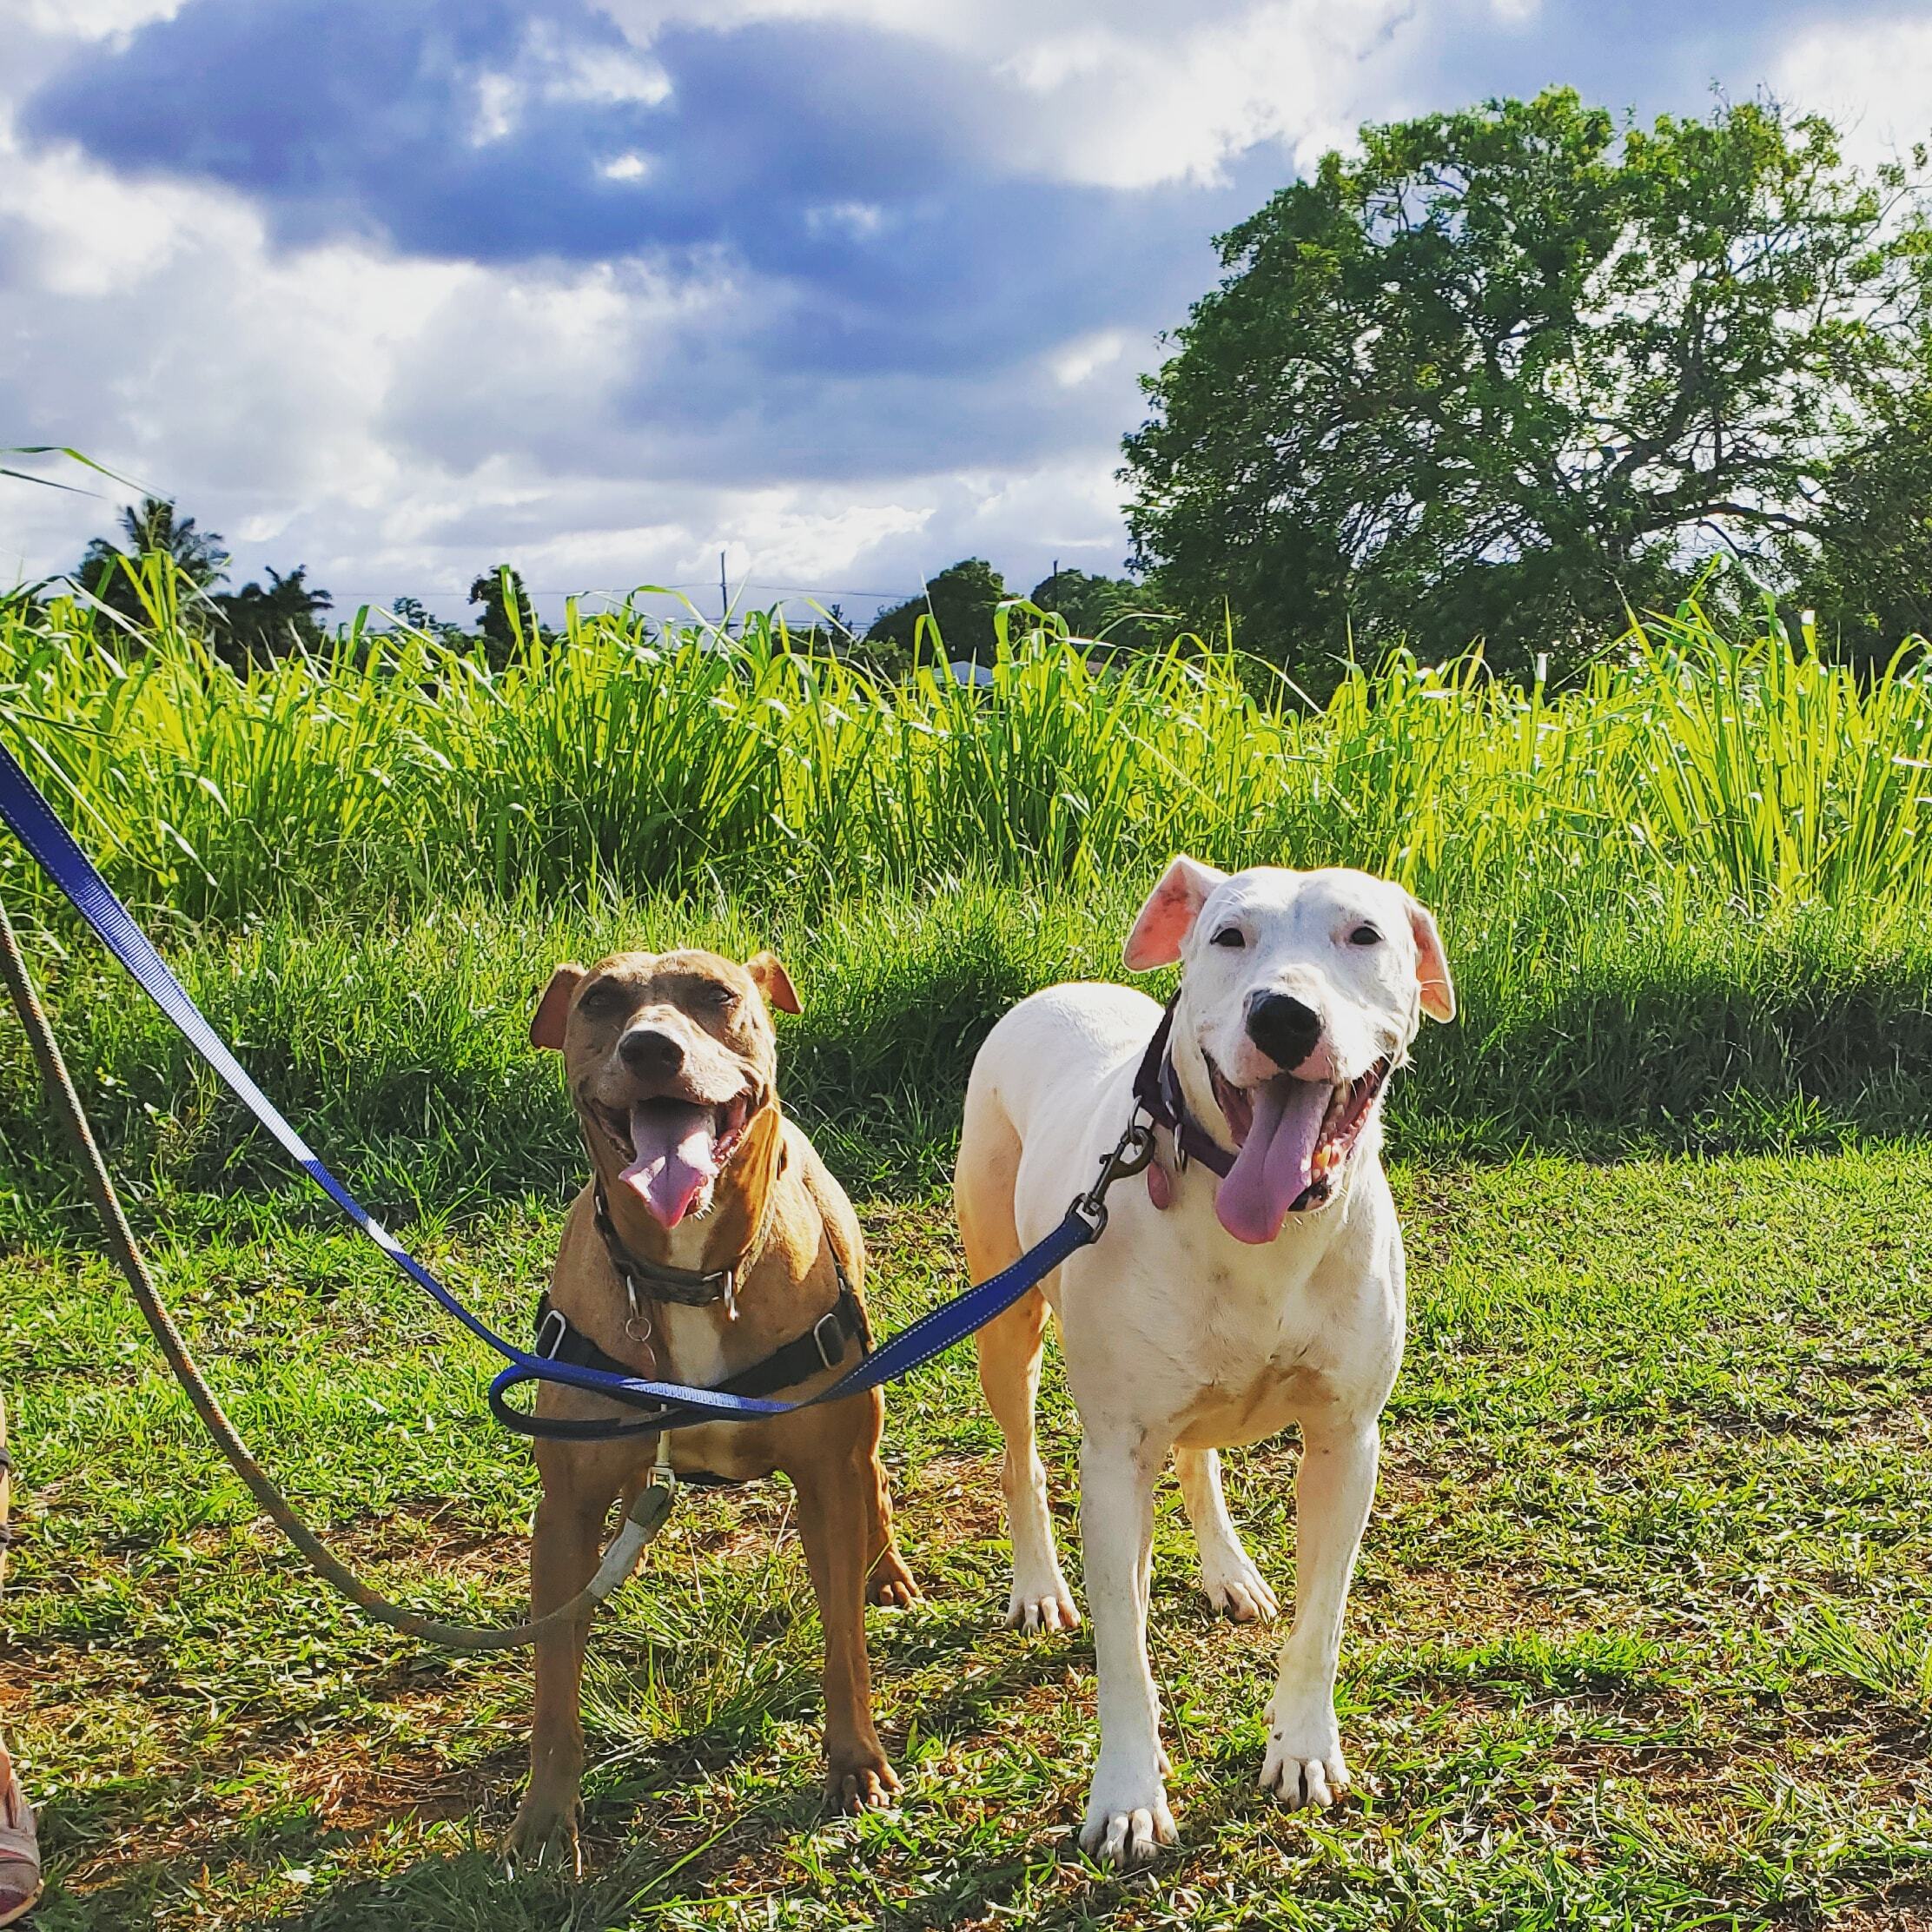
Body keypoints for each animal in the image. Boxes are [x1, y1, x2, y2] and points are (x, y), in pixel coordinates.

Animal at [506, 943, 911, 1862]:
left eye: (717, 995)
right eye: (601, 1002)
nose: (651, 1048)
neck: (688, 1275)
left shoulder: (825, 1474)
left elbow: (843, 1640)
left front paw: (855, 1763)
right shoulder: (566, 1508)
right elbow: (554, 1680)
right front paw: (545, 1815)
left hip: (861, 1421)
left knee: (874, 1483)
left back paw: (888, 1573)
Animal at [950, 857, 1452, 1855]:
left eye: (1364, 934)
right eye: (1229, 935)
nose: (1284, 1017)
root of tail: (1054, 992)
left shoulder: (1347, 1441)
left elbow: (1322, 1619)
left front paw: (1303, 1747)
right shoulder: (1114, 1458)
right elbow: (1122, 1647)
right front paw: (1127, 1791)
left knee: (1198, 1455)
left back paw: (1228, 1568)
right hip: (1005, 1314)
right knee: (1022, 1458)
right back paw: (1040, 1584)